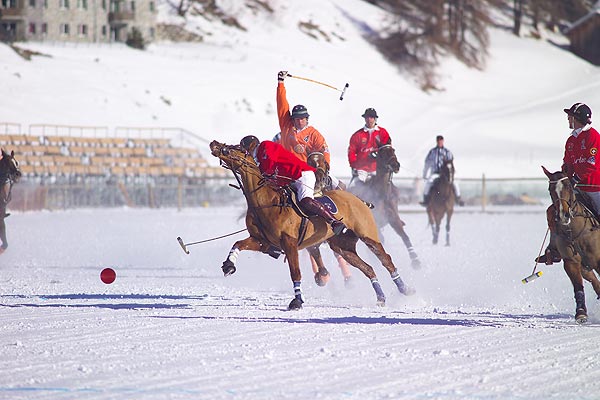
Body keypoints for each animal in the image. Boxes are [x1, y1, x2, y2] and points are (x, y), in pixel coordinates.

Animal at [210, 140, 412, 310]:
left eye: (235, 147)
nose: (214, 143)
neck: (264, 201)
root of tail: (360, 199)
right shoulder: (263, 242)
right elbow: (237, 244)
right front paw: (229, 265)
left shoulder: (289, 243)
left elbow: (295, 272)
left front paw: (297, 301)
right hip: (344, 247)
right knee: (368, 268)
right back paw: (381, 297)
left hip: (368, 234)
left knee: (385, 259)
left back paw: (405, 289)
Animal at [540, 166, 600, 324]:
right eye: (550, 189)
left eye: (568, 186)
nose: (562, 215)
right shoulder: (571, 261)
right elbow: (578, 286)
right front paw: (581, 313)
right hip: (585, 266)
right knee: (594, 281)